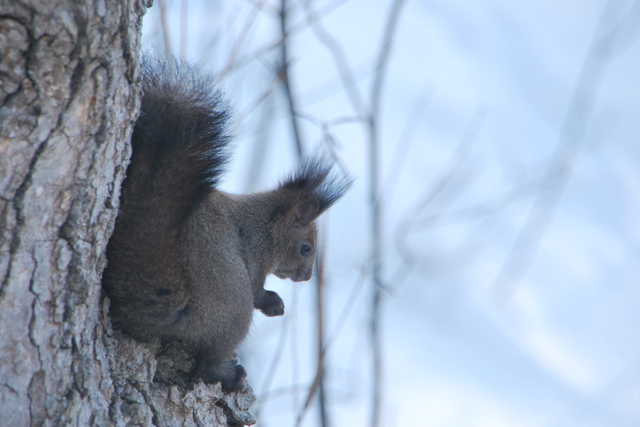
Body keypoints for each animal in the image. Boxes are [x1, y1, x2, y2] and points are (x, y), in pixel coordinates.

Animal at [101, 55, 350, 392]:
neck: (265, 222)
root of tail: (175, 314)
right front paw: (272, 303)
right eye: (306, 248)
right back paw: (228, 374)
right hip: (235, 305)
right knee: (210, 360)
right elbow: (257, 288)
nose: (306, 277)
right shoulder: (256, 254)